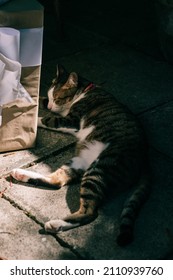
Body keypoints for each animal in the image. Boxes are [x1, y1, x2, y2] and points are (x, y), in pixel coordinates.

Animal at [10, 64, 150, 244]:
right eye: (52, 97)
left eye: (58, 98)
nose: (51, 107)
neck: (85, 91)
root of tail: (145, 156)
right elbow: (40, 100)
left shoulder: (70, 120)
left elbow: (48, 119)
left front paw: (36, 119)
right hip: (80, 161)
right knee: (57, 181)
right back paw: (21, 174)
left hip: (100, 169)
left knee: (90, 213)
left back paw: (56, 224)